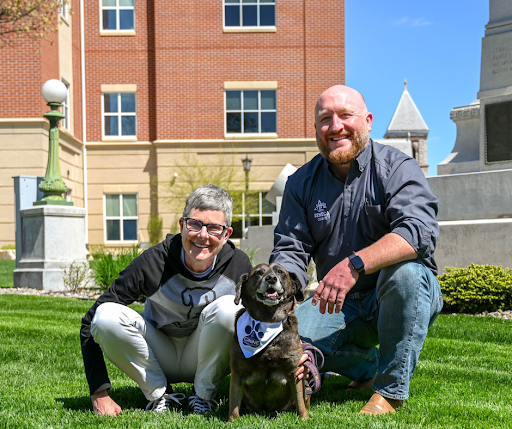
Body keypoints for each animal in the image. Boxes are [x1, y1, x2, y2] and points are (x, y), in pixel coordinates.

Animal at [228, 262, 308, 420]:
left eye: (280, 272)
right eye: (258, 273)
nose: (271, 278)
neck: (268, 322)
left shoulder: (295, 371)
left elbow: (300, 401)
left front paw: (304, 419)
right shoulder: (237, 373)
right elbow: (234, 404)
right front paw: (231, 421)